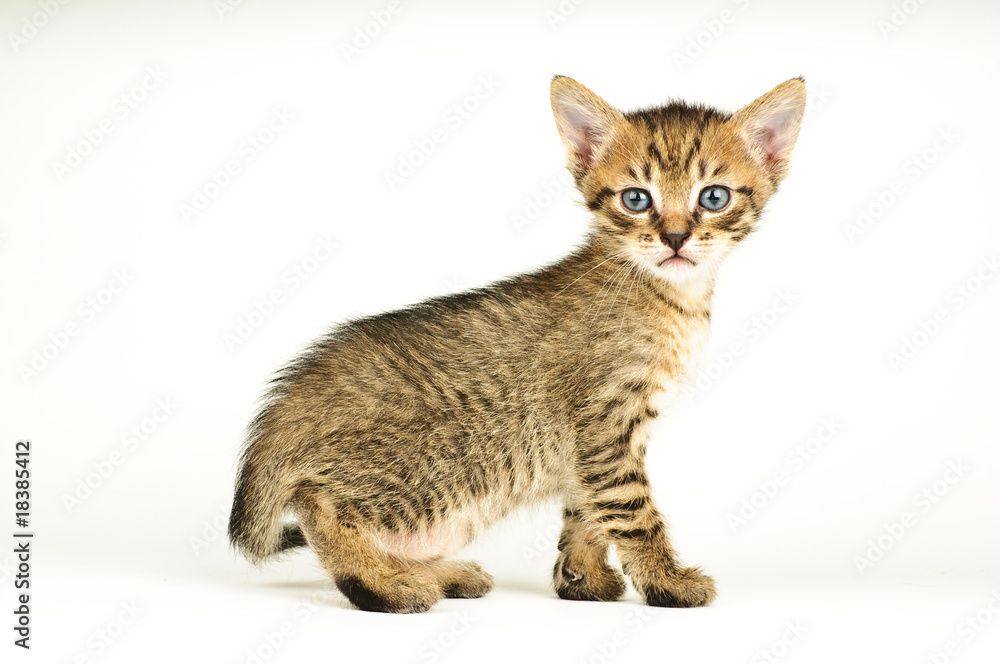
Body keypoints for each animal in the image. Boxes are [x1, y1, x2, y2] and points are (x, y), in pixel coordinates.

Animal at [227, 74, 804, 612]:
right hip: (432, 474)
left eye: (713, 197)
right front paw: (666, 581)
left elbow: (585, 507)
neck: (671, 296)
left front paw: (580, 577)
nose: (677, 237)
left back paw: (434, 573)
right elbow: (633, 510)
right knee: (318, 503)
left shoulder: (594, 440)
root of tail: (293, 399)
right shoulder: (606, 421)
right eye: (637, 199)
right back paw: (382, 585)